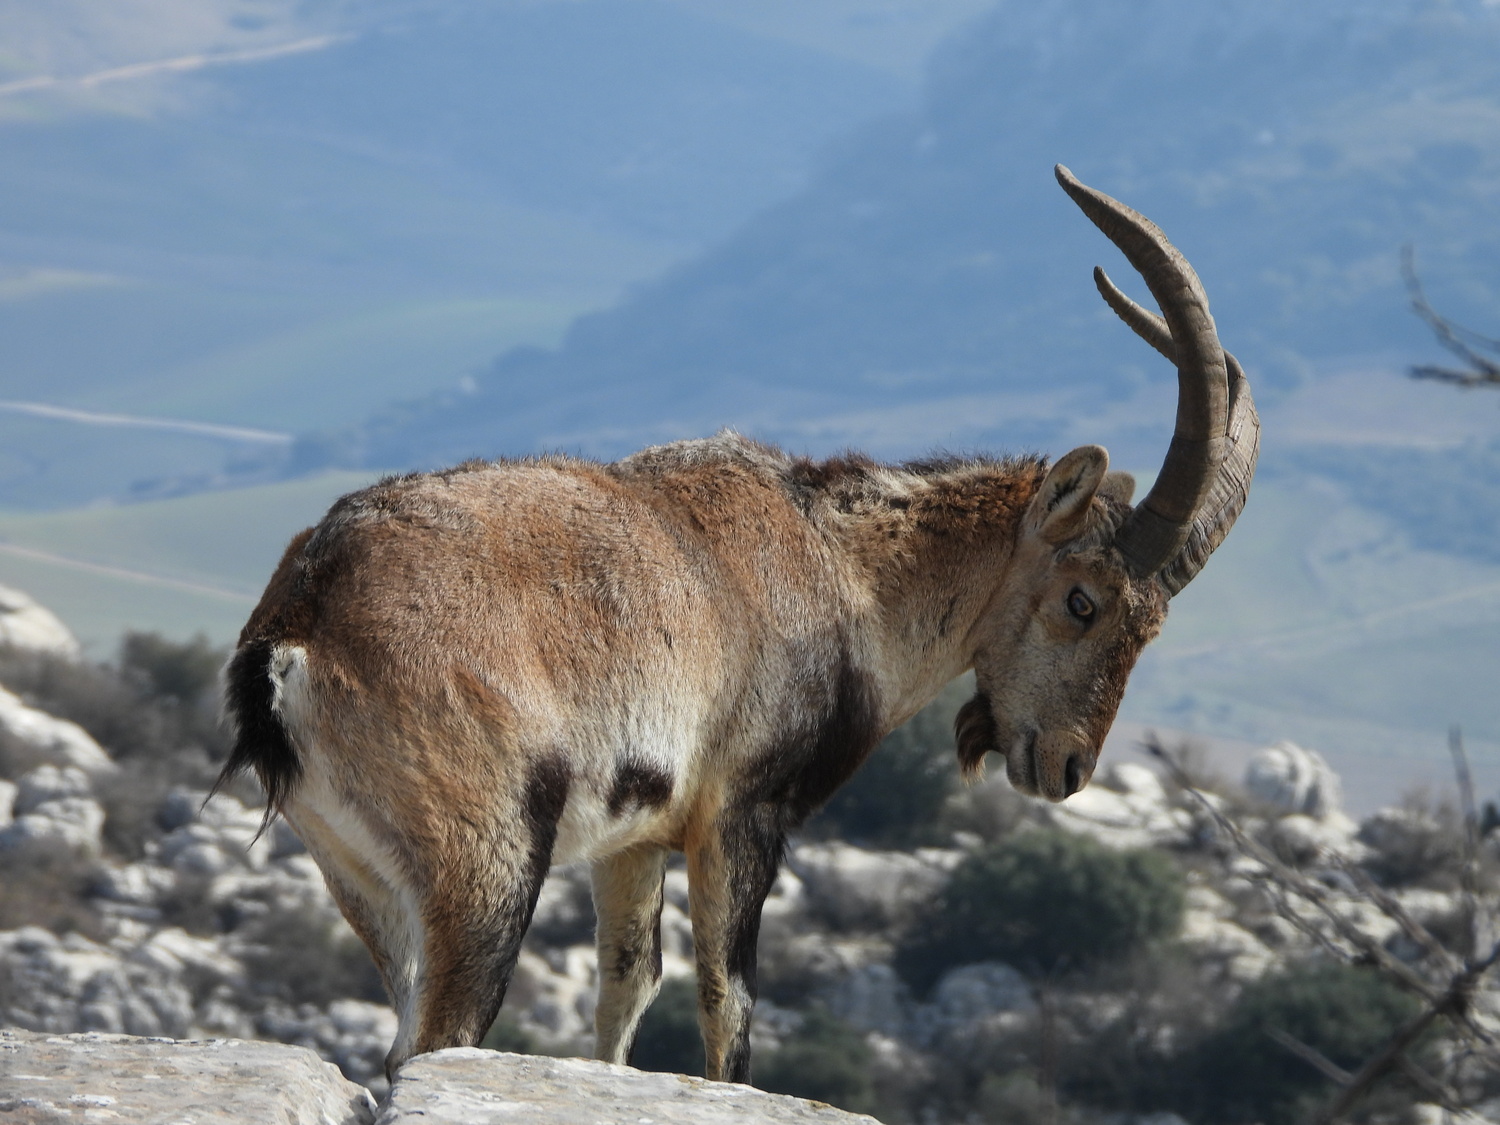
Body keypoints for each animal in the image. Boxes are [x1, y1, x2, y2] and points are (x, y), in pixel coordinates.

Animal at [216, 166, 1259, 1084]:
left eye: (1153, 627)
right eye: (1085, 600)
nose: (1069, 766)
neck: (848, 572)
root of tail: (299, 624)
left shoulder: (635, 837)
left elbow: (628, 986)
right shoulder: (742, 811)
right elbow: (730, 1001)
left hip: (363, 876)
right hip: (485, 866)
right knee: (439, 1035)